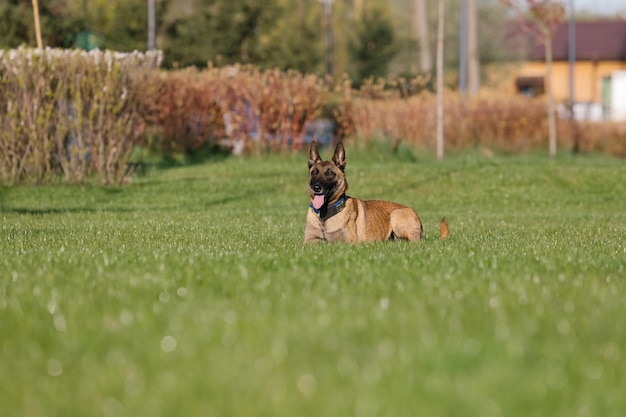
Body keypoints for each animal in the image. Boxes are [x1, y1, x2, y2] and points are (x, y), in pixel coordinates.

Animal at [304, 141, 446, 242]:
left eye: (329, 173)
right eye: (314, 172)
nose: (316, 187)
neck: (324, 217)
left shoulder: (347, 242)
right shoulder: (309, 242)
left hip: (396, 216)